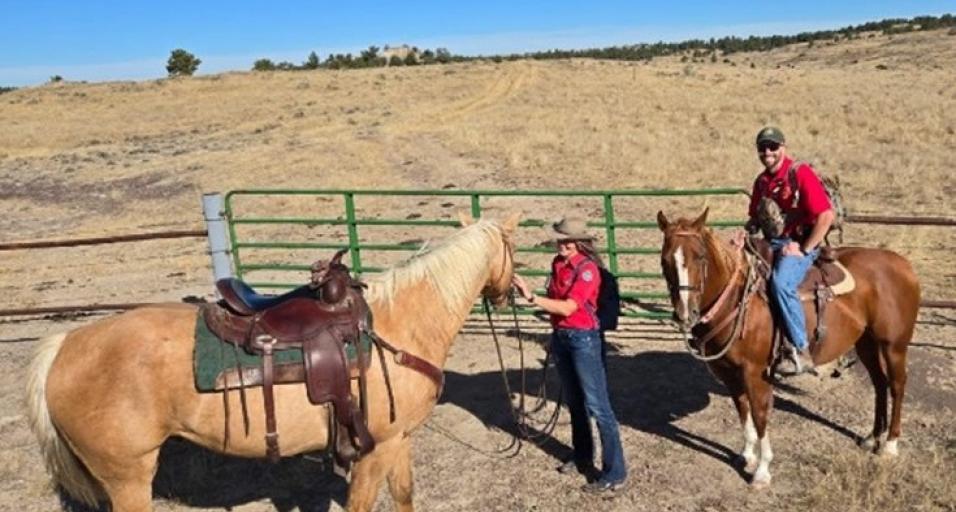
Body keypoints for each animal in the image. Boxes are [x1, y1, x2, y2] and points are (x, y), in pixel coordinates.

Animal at [27, 213, 520, 512]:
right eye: (513, 247)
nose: (509, 291)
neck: (401, 324)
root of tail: (64, 346)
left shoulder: (398, 441)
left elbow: (404, 496)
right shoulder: (376, 448)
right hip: (127, 477)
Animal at [655, 208, 920, 488]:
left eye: (700, 256)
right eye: (664, 260)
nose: (686, 314)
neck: (737, 301)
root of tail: (904, 265)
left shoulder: (755, 373)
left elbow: (759, 415)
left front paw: (762, 471)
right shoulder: (729, 374)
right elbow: (742, 411)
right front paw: (746, 454)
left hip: (894, 346)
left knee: (897, 386)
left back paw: (890, 445)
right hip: (866, 343)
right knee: (880, 384)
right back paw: (872, 437)